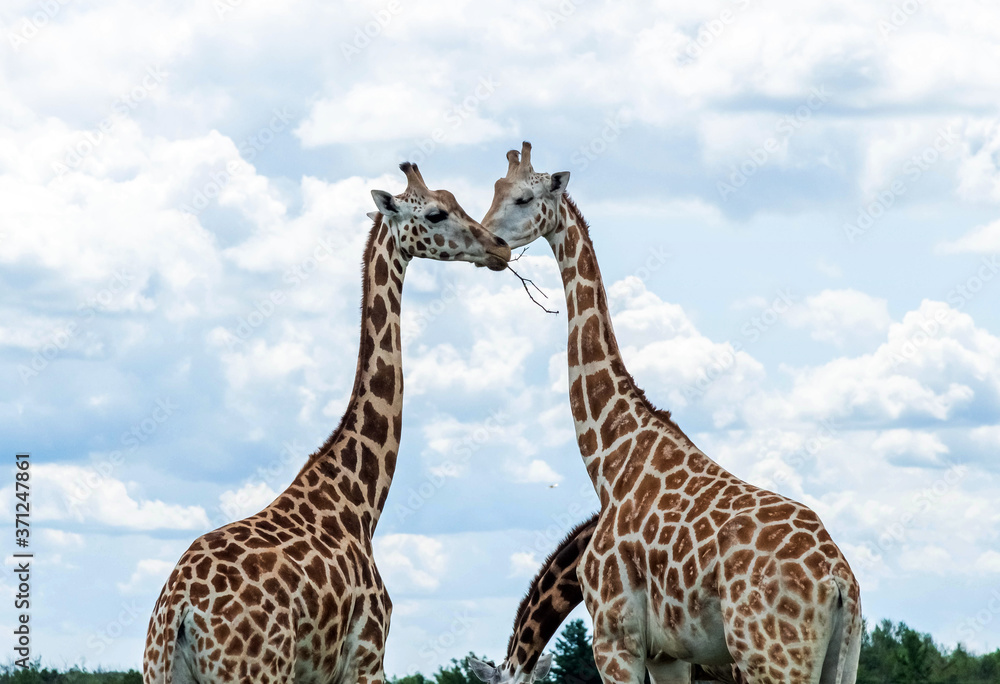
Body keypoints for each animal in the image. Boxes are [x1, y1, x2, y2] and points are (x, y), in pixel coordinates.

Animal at [143, 163, 511, 684]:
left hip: (160, 668)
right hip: (257, 671)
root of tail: (178, 611)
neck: (361, 502)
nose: (500, 247)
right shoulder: (367, 654)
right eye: (436, 214)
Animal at [479, 143, 862, 684]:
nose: (489, 243)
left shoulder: (615, 638)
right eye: (493, 191)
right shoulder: (670, 654)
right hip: (840, 657)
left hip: (770, 659)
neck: (609, 461)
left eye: (524, 198)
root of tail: (838, 579)